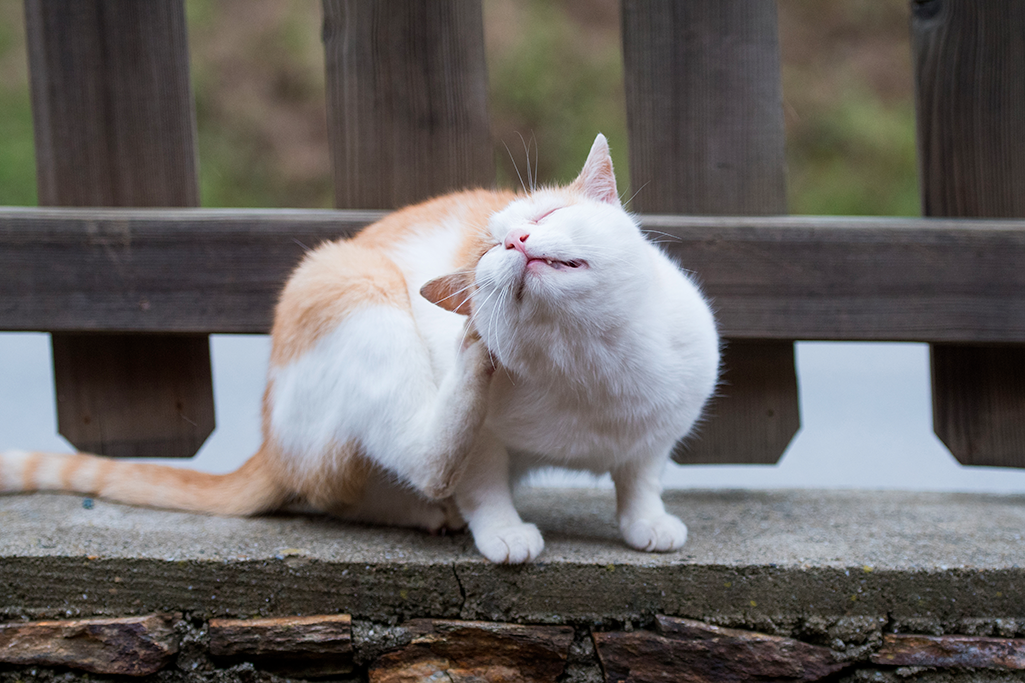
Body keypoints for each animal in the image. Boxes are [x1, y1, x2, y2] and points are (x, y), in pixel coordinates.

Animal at [0, 134, 721, 561]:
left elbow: (640, 474)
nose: (513, 244)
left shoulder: (659, 429)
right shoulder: (486, 448)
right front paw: (502, 530)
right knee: (418, 458)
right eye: (485, 254)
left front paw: (646, 521)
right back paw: (468, 370)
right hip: (355, 285)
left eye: (542, 217)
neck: (592, 366)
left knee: (352, 490)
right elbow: (481, 480)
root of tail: (268, 438)